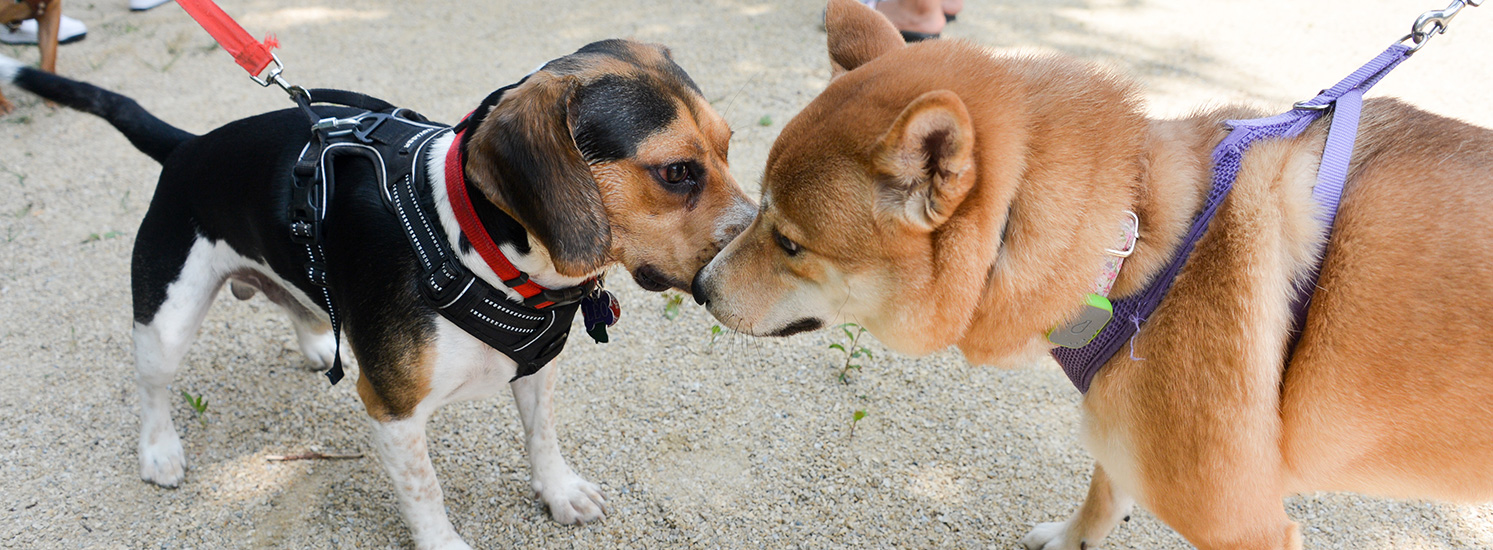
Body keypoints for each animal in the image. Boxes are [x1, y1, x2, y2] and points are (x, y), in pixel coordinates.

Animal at [0, 39, 746, 550]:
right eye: (676, 172)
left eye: (729, 146)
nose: (753, 253)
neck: (469, 246)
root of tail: (188, 146)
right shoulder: (393, 411)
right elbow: (426, 493)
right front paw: (445, 544)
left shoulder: (536, 369)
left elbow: (542, 439)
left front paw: (559, 494)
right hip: (166, 318)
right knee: (154, 386)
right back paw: (159, 451)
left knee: (295, 300)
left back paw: (314, 340)